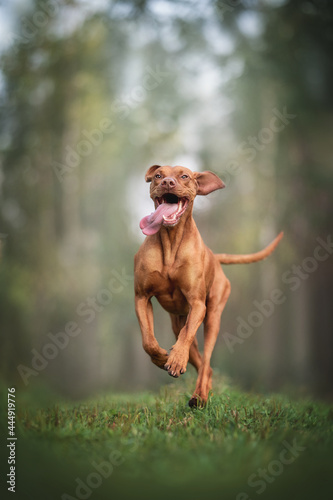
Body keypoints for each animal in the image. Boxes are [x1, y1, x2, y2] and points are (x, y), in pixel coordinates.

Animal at [134, 165, 282, 406]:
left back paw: (199, 396)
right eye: (158, 175)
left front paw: (176, 360)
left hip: (212, 317)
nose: (167, 182)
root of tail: (214, 256)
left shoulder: (197, 304)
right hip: (179, 323)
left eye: (184, 176)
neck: (171, 241)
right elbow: (148, 340)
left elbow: (186, 337)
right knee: (201, 359)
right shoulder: (141, 297)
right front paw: (162, 357)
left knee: (205, 361)